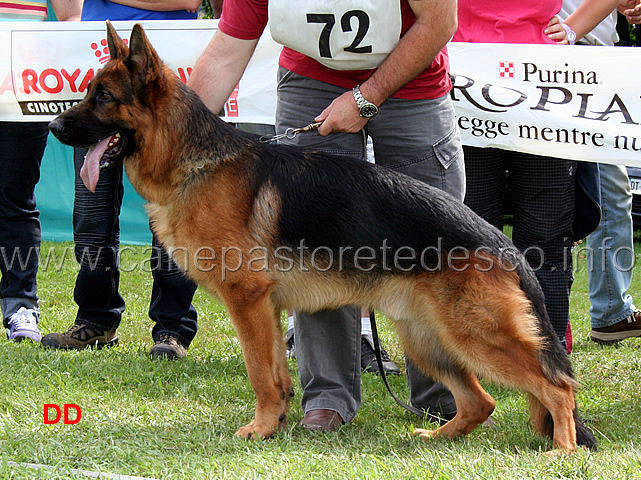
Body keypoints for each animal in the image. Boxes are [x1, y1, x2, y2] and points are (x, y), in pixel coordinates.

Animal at [50, 22, 596, 454]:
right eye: (89, 92)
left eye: (103, 97)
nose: (53, 126)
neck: (194, 161)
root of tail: (503, 244)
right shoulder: (266, 309)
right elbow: (276, 374)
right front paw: (275, 425)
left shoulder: (247, 301)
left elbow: (259, 374)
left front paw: (259, 429)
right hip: (428, 339)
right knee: (482, 401)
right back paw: (437, 437)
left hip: (475, 336)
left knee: (557, 385)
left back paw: (562, 452)